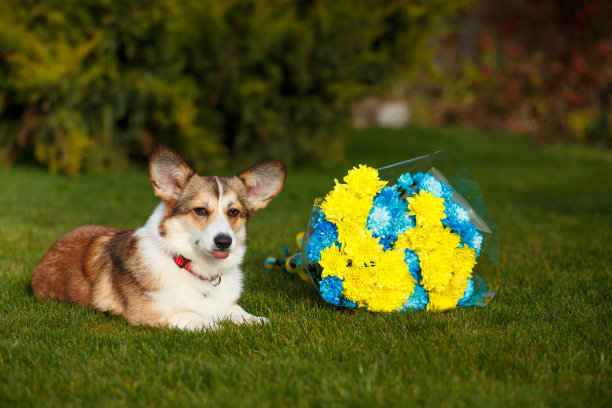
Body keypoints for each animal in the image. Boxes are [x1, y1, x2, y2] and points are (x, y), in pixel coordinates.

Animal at [33, 147, 290, 332]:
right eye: (200, 210)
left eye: (234, 212)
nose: (224, 241)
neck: (195, 268)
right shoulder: (149, 313)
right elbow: (196, 319)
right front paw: (216, 325)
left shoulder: (228, 305)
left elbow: (240, 314)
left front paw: (257, 321)